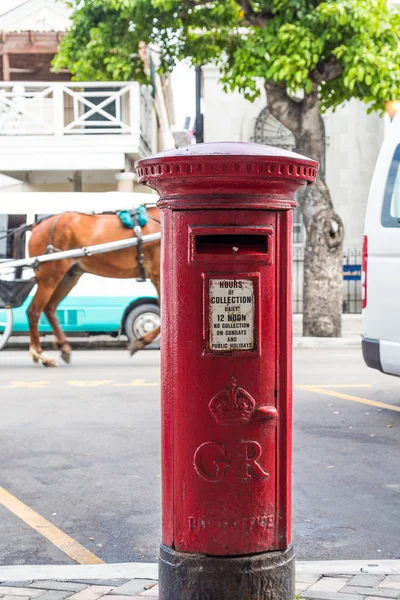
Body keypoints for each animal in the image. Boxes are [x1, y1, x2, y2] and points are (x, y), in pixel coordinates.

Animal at [25, 209, 161, 366]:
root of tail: (37, 226)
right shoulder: (158, 276)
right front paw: (139, 342)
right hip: (49, 276)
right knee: (34, 311)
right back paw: (40, 354)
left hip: (68, 277)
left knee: (49, 307)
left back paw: (63, 347)